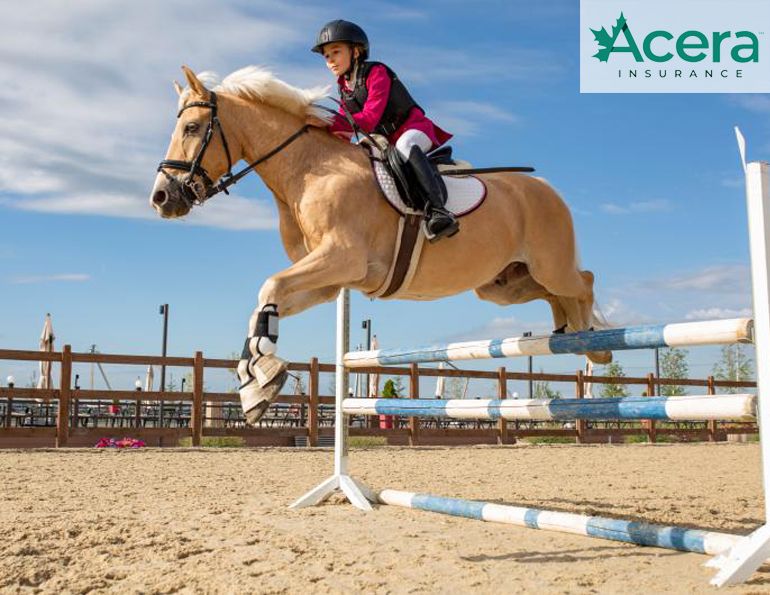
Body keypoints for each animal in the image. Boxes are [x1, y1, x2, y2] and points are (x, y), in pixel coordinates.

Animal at [150, 65, 610, 424]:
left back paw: (596, 347)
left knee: (583, 281)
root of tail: (548, 189)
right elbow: (265, 302)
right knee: (555, 296)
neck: (310, 169)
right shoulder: (329, 281)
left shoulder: (342, 259)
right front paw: (257, 383)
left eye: (191, 128)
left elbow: (269, 286)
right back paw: (571, 329)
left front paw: (262, 375)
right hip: (503, 285)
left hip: (549, 265)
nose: (161, 198)